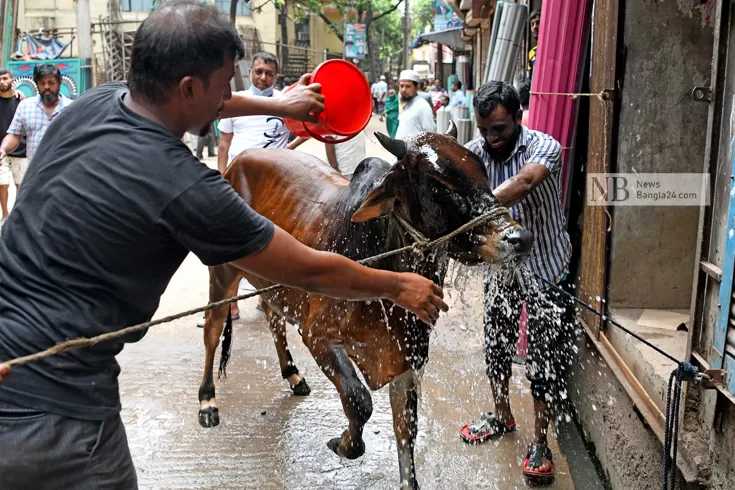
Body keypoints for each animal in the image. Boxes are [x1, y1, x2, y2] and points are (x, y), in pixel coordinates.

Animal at [197, 124, 528, 488]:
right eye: (439, 184)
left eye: (483, 171)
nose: (519, 239)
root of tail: (237, 160)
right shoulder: (318, 335)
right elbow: (359, 401)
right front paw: (341, 443)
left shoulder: (407, 359)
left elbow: (407, 431)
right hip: (223, 272)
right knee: (213, 327)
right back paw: (207, 401)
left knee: (273, 317)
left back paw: (293, 375)